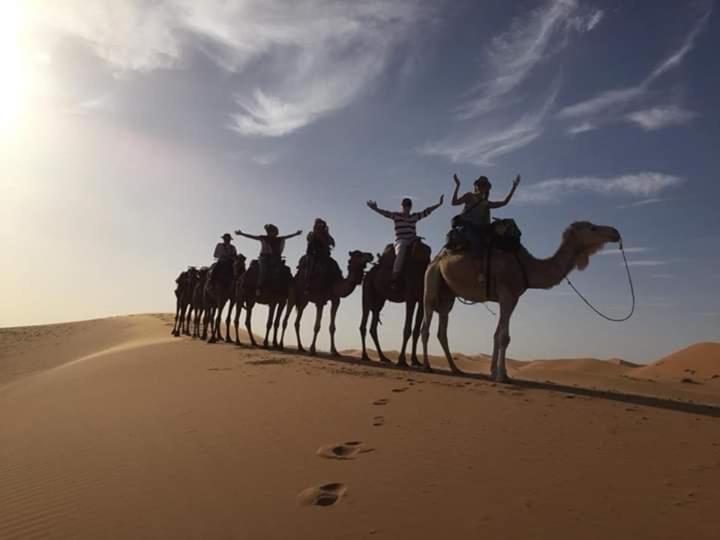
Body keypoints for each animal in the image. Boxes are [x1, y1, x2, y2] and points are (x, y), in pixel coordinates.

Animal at [358, 240, 430, 368]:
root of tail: (368, 273)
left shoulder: (421, 301)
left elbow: (416, 331)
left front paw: (415, 360)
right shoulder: (410, 298)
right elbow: (407, 329)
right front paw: (402, 361)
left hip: (380, 300)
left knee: (373, 326)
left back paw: (383, 357)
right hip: (367, 290)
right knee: (363, 324)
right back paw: (365, 356)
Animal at [420, 221, 620, 382]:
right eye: (593, 228)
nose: (615, 233)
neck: (528, 267)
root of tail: (437, 258)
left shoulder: (512, 298)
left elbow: (496, 335)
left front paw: (494, 373)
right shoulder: (507, 294)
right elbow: (504, 337)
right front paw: (502, 376)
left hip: (447, 295)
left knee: (442, 329)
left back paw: (455, 369)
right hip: (431, 281)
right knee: (426, 324)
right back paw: (427, 366)